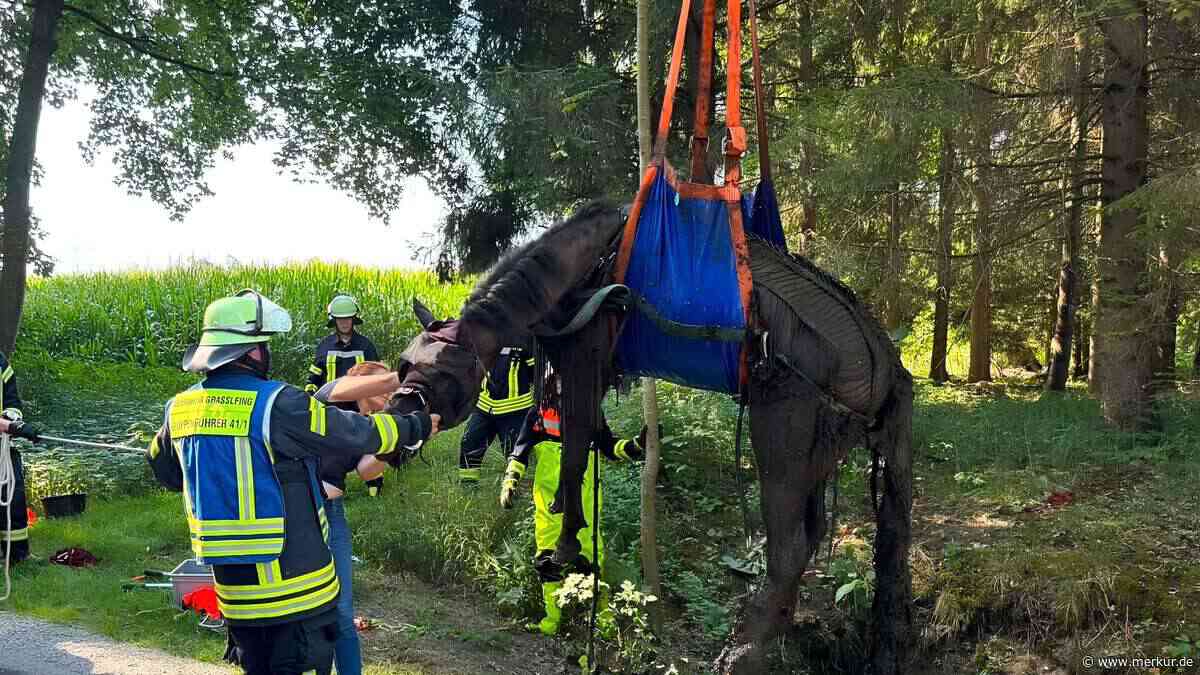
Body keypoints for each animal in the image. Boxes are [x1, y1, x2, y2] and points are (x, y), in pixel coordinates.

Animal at [393, 201, 915, 674]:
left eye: (444, 373)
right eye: (404, 363)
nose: (398, 419)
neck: (582, 269)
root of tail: (886, 364)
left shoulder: (585, 356)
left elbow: (575, 454)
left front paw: (564, 551)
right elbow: (583, 442)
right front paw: (572, 539)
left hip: (785, 426)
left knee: (788, 547)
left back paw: (742, 652)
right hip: (820, 450)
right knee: (818, 534)